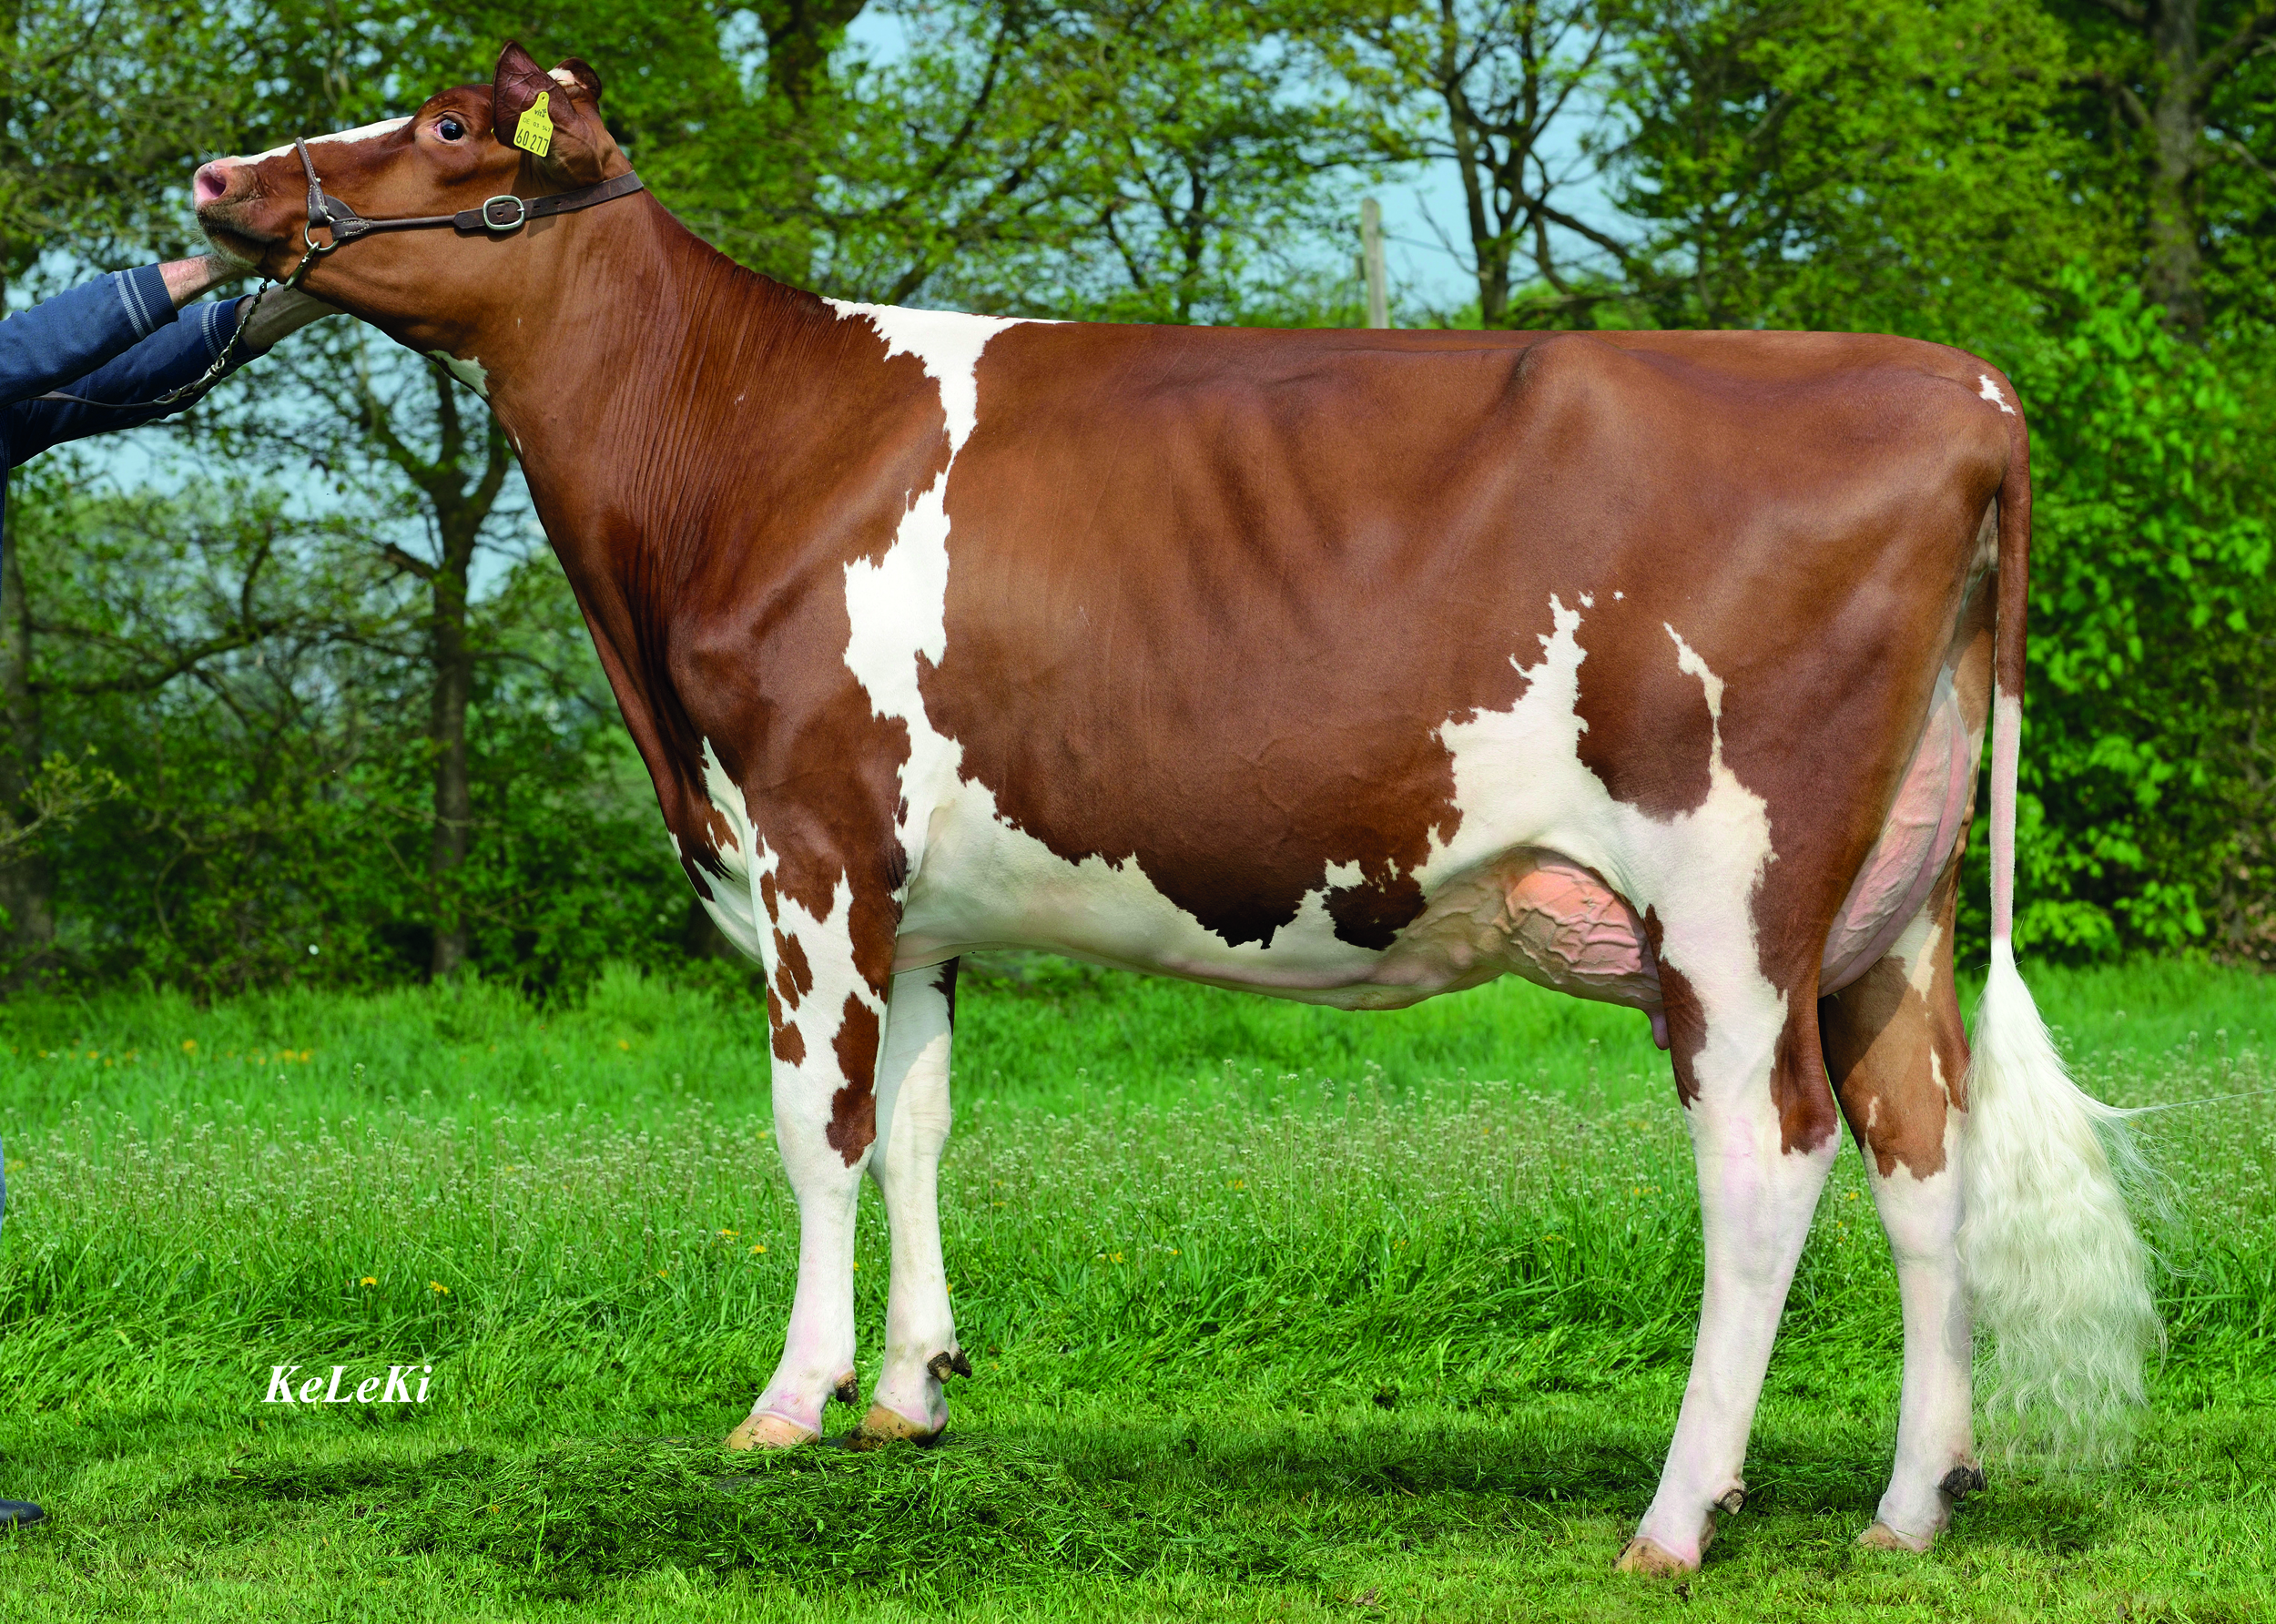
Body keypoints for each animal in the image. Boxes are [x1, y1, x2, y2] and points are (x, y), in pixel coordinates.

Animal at [192, 42, 2157, 1573]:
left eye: (452, 126)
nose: (217, 179)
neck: (740, 458)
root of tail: (1952, 376)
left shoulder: (810, 841)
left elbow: (815, 1131)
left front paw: (786, 1401)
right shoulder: (918, 895)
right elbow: (919, 1124)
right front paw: (908, 1390)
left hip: (1731, 890)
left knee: (1770, 1159)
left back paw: (1679, 1514)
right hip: (1887, 898)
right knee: (1923, 1148)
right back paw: (1909, 1504)